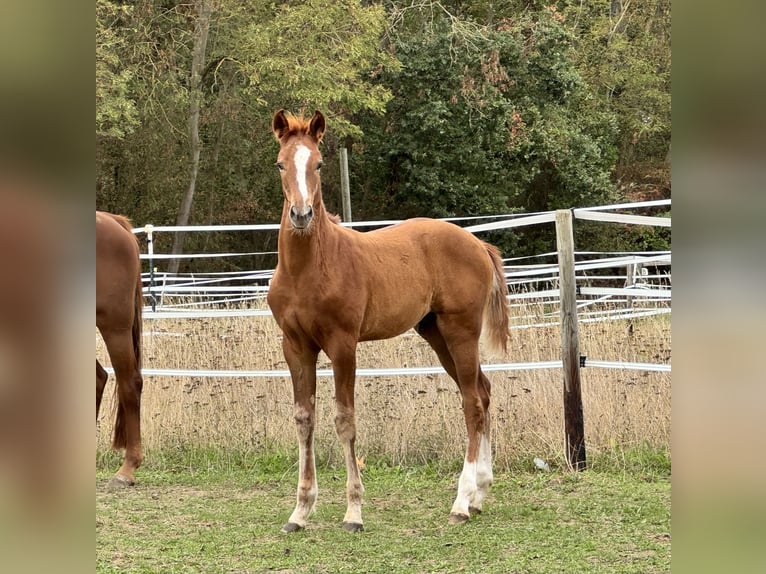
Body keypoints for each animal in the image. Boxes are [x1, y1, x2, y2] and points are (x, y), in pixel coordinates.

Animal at [267, 110, 509, 532]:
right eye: (281, 163)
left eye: (319, 164)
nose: (301, 215)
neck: (308, 270)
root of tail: (478, 244)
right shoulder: (295, 346)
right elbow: (304, 419)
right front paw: (299, 511)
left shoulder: (343, 345)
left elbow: (344, 420)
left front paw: (353, 512)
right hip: (435, 332)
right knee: (483, 390)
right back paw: (479, 494)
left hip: (460, 330)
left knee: (472, 402)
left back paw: (461, 502)